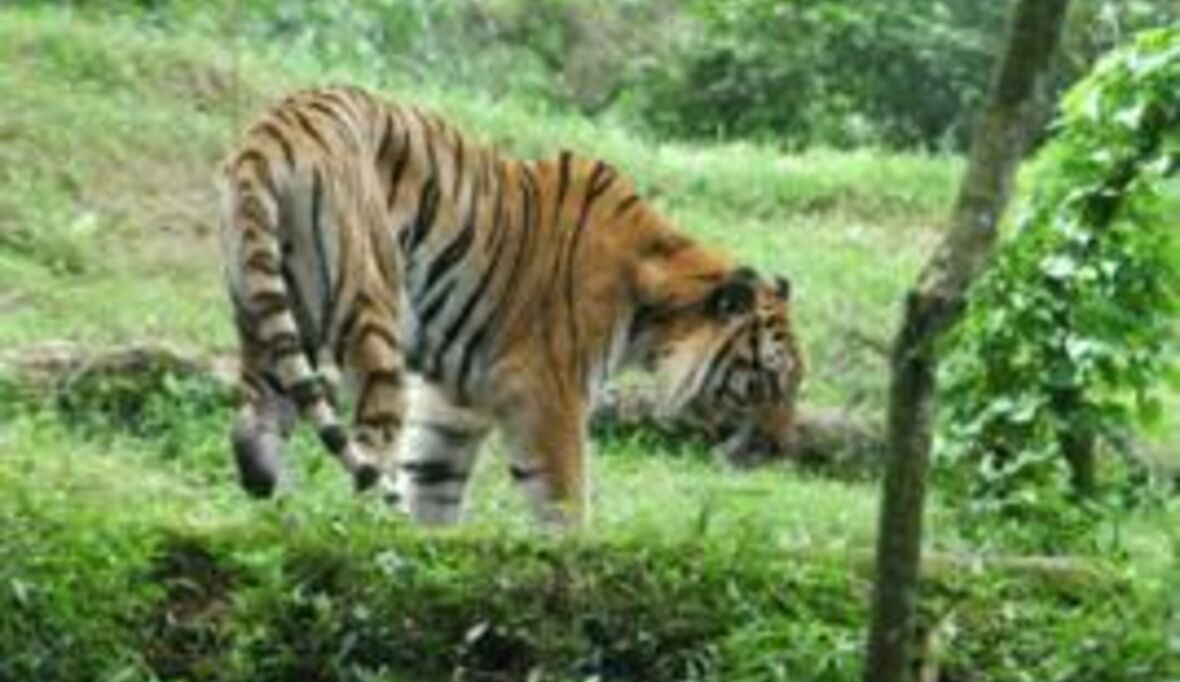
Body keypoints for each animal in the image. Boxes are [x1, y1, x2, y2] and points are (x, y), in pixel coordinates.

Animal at [219, 85, 804, 527]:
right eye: (768, 379)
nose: (779, 450)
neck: (652, 312)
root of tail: (272, 132)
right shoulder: (546, 390)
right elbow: (564, 499)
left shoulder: (456, 400)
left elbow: (433, 482)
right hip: (369, 307)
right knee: (367, 446)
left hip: (273, 307)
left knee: (254, 423)